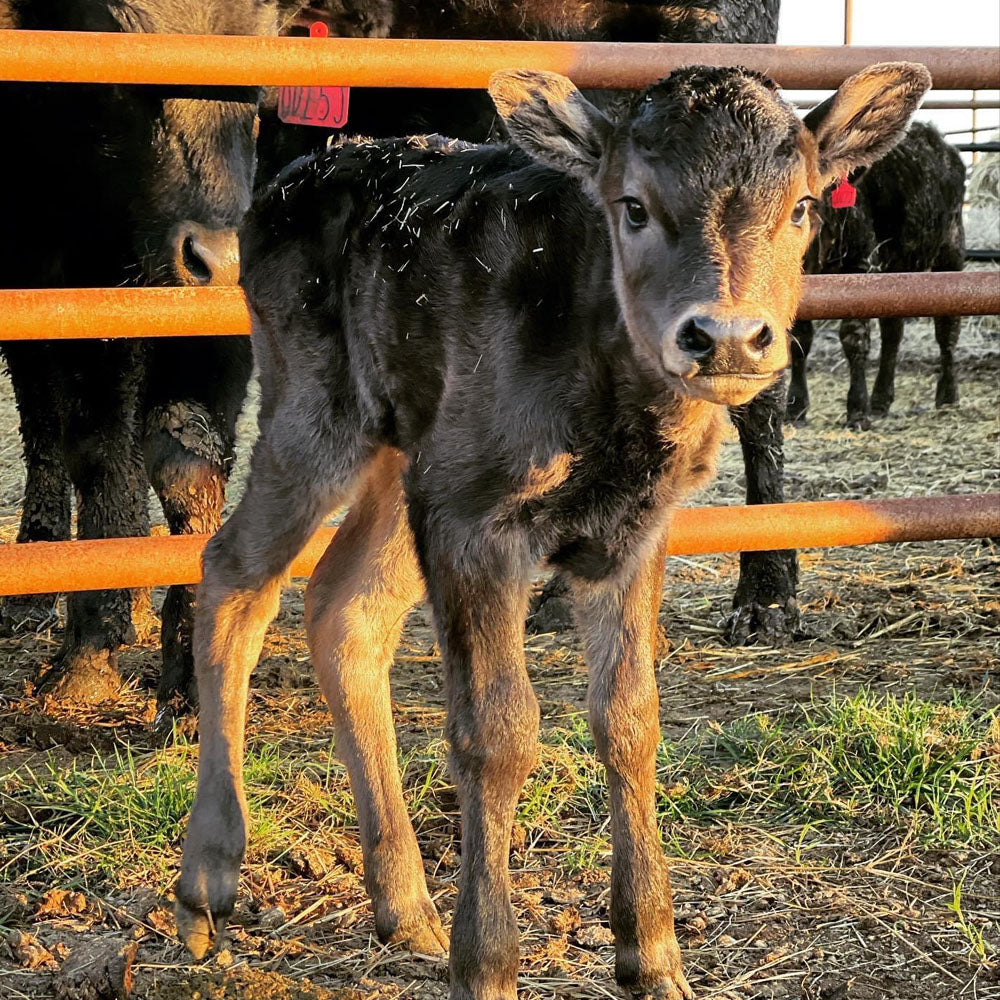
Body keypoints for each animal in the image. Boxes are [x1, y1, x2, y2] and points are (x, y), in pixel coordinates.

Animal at [0, 0, 285, 721]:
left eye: (259, 90)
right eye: (119, 83)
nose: (223, 257)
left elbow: (185, 456)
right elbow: (93, 447)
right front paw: (90, 650)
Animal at [174, 61, 930, 999]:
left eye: (803, 206)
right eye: (632, 205)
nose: (724, 337)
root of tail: (291, 178)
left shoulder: (632, 531)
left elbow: (630, 717)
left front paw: (653, 954)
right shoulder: (472, 524)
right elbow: (498, 733)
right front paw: (489, 963)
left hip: (408, 457)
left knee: (347, 607)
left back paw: (406, 907)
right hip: (317, 414)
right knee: (235, 571)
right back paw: (208, 878)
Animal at [785, 121, 966, 428]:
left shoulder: (861, 266)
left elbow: (854, 337)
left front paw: (857, 408)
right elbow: (800, 338)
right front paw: (796, 407)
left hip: (950, 251)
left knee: (947, 328)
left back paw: (948, 395)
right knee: (893, 332)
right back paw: (882, 399)